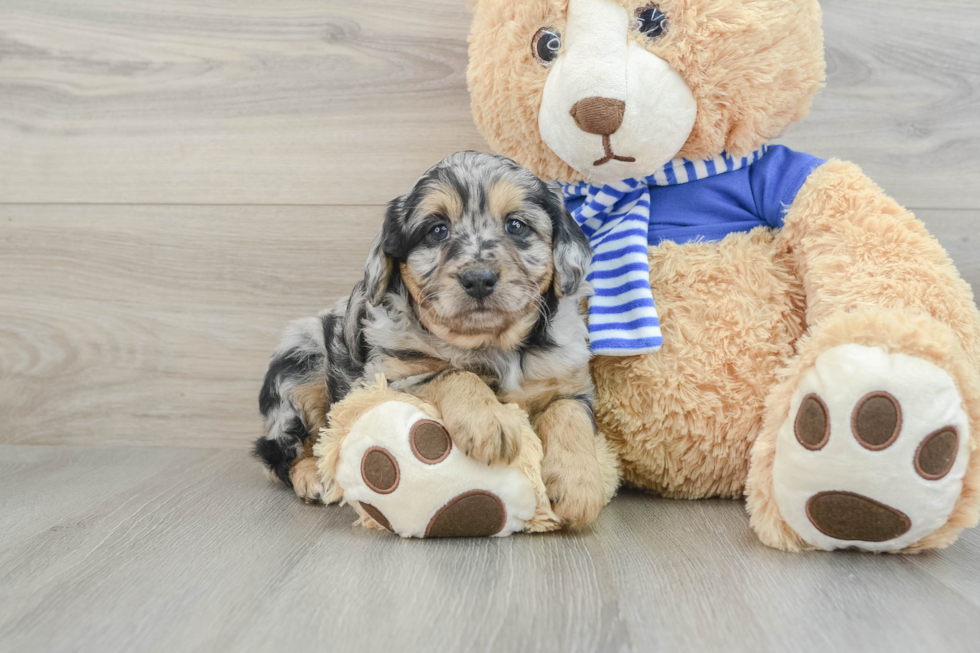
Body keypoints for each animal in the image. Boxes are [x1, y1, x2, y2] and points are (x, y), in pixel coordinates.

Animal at [258, 152, 612, 524]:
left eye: (516, 226)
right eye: (437, 230)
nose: (479, 279)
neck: (491, 344)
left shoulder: (570, 381)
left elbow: (568, 414)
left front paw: (579, 486)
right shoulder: (389, 379)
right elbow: (453, 373)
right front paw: (490, 422)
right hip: (301, 361)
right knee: (277, 451)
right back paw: (312, 476)